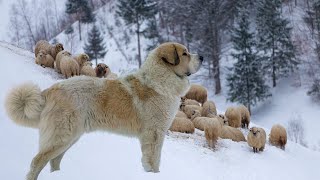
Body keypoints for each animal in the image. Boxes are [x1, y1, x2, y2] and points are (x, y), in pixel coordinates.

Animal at [5, 41, 202, 179]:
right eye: (185, 53)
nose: (201, 57)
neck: (161, 80)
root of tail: (52, 89)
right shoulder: (154, 134)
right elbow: (153, 160)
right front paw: (154, 175)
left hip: (69, 137)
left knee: (54, 160)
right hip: (61, 136)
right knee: (37, 161)